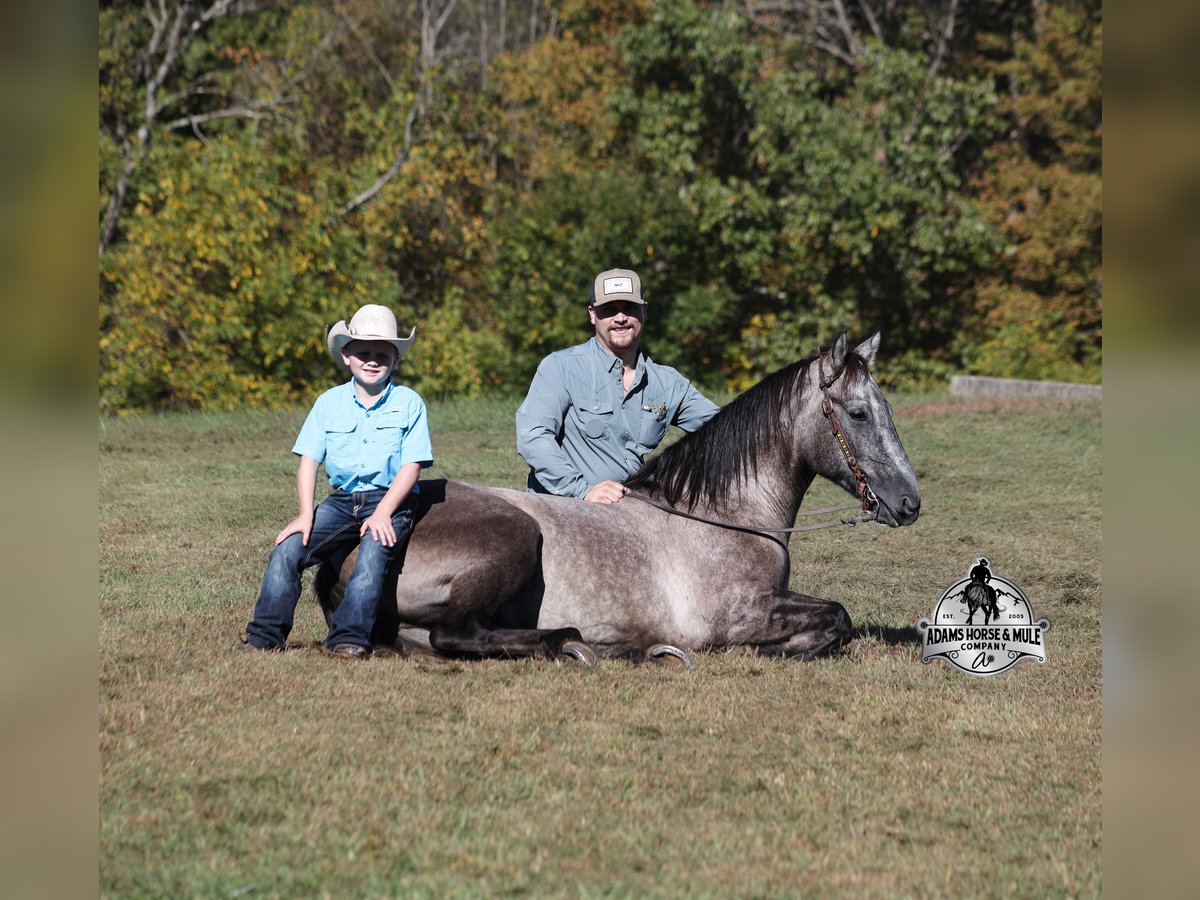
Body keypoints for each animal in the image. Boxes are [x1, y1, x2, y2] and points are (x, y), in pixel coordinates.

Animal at [316, 333, 921, 664]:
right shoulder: (742, 613)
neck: (719, 516)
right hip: (515, 537)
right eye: (858, 413)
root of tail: (366, 531)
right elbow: (837, 617)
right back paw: (579, 644)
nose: (910, 503)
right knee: (456, 634)